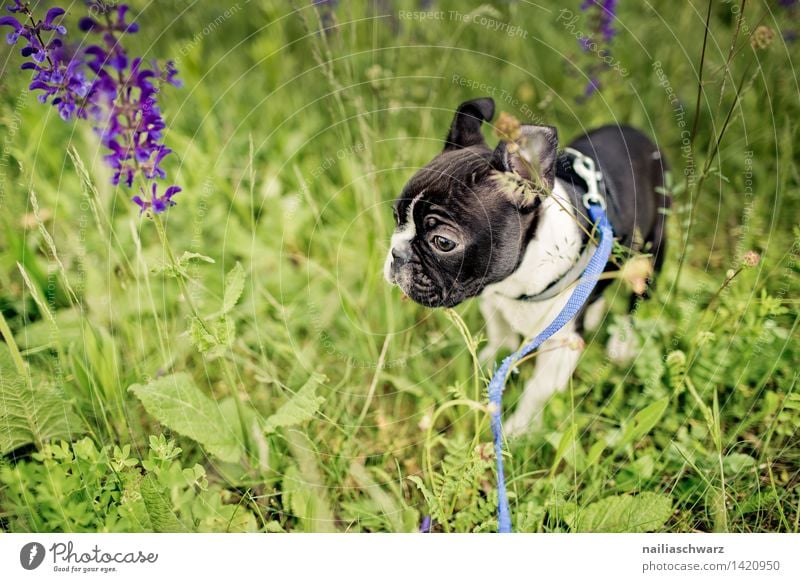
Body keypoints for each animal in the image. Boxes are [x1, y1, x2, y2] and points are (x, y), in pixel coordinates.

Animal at [382, 98, 668, 436]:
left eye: (443, 242)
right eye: (396, 216)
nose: (396, 253)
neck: (517, 277)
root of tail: (638, 135)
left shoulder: (559, 345)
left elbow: (537, 391)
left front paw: (517, 430)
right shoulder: (494, 301)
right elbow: (500, 339)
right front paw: (484, 366)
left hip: (652, 249)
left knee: (639, 295)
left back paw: (622, 343)